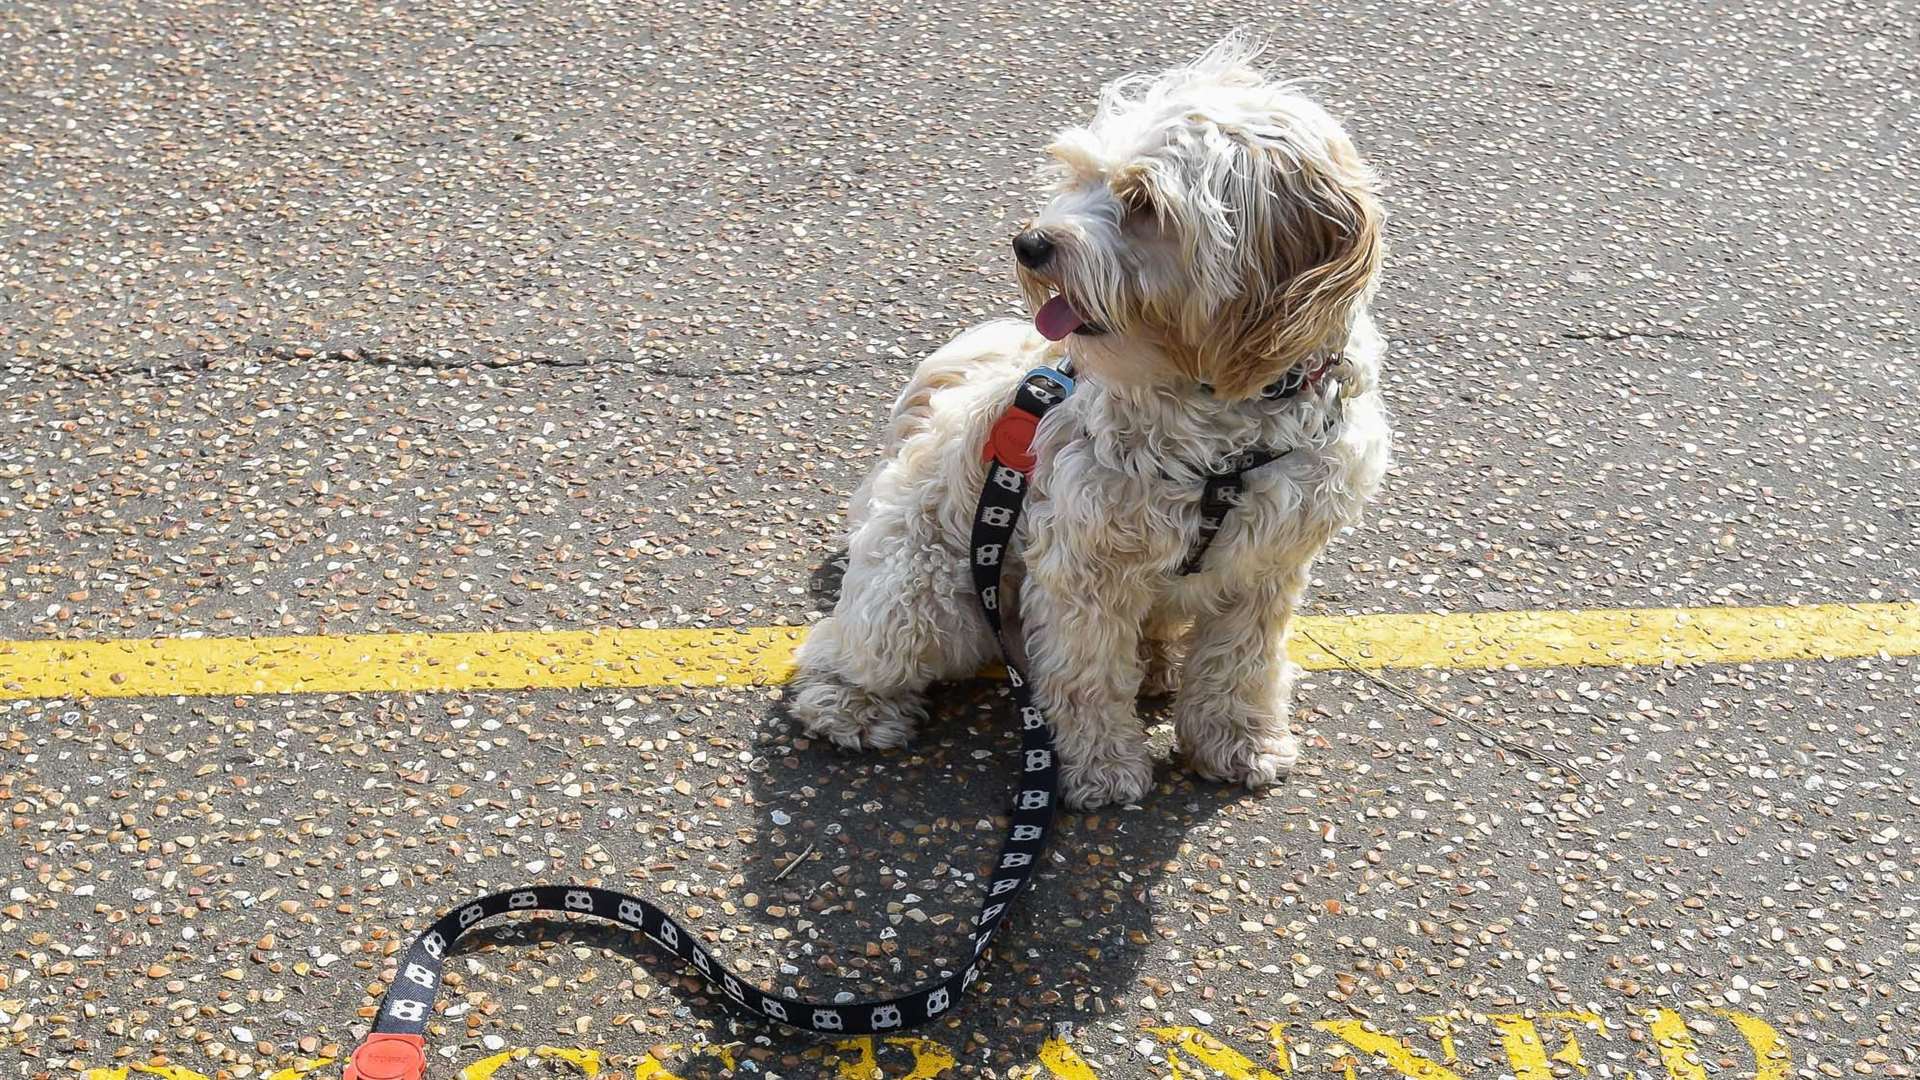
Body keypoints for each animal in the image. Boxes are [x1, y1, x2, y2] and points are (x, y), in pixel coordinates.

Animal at [787, 37, 1390, 803]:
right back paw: (854, 708)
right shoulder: (1082, 562)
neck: (1226, 415)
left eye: (1142, 202)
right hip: (927, 600)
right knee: (839, 650)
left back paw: (1160, 664)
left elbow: (1241, 665)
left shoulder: (1266, 565)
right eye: (1077, 176)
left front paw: (1239, 742)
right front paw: (1102, 768)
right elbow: (1085, 674)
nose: (1030, 244)